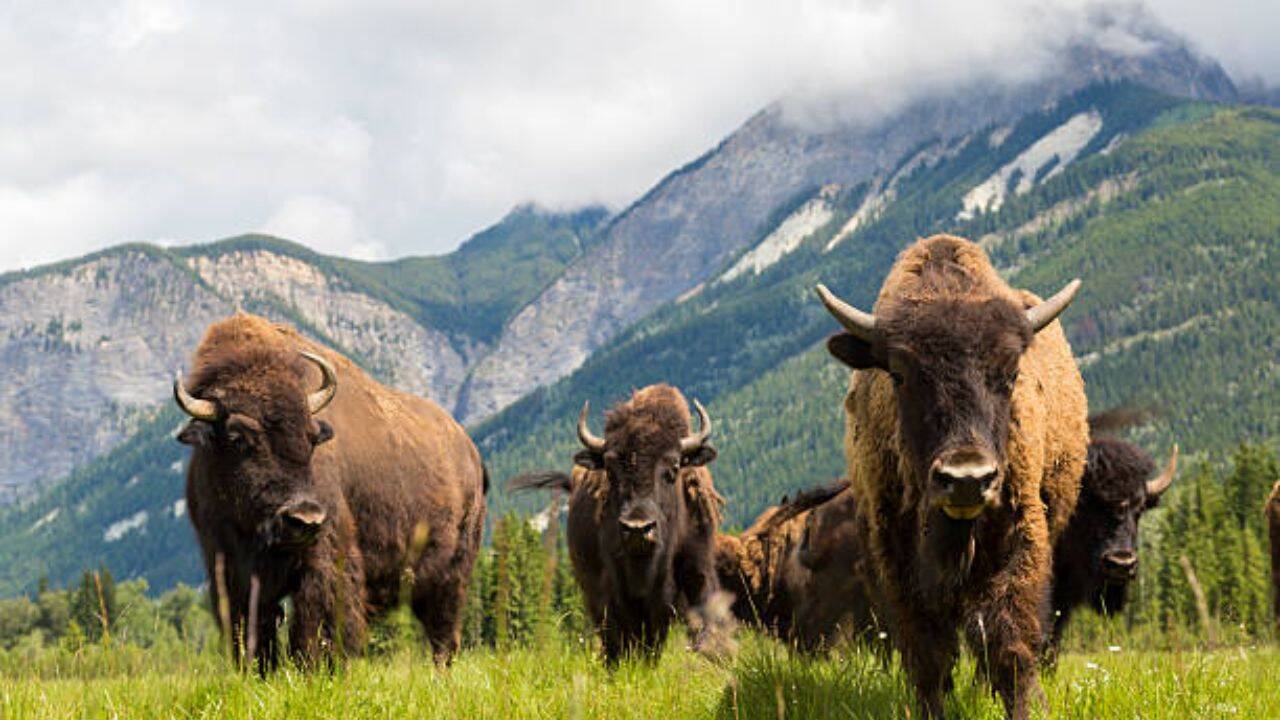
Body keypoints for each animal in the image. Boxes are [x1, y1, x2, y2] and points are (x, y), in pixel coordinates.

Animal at [174, 313, 487, 670]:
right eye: (238, 438)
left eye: (311, 438)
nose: (304, 517)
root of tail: (470, 452)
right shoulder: (229, 567)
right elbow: (254, 629)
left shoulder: (323, 558)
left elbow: (317, 622)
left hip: (452, 575)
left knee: (443, 634)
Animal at [815, 234, 1088, 718]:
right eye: (899, 374)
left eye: (1011, 373)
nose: (966, 478)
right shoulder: (898, 556)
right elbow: (929, 652)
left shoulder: (1019, 537)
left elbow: (1009, 641)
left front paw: (1026, 705)